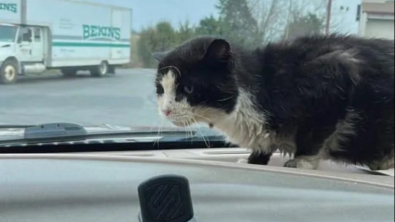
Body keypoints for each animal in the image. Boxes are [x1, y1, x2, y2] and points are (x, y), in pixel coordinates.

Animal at [153, 34, 394, 170]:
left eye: (188, 88)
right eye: (161, 89)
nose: (165, 111)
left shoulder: (333, 76)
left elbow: (313, 135)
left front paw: (302, 161)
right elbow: (263, 145)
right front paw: (253, 160)